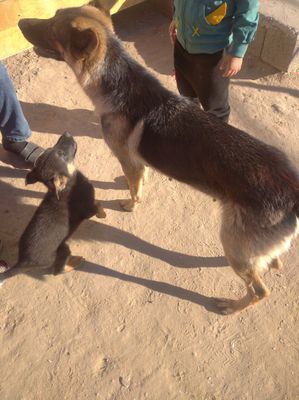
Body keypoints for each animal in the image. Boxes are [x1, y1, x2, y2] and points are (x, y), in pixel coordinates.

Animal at [0, 131, 106, 278]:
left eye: (53, 149)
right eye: (61, 154)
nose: (66, 133)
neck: (67, 186)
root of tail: (23, 262)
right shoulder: (88, 208)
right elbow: (98, 205)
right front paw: (103, 214)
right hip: (63, 249)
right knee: (57, 271)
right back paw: (74, 263)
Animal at [18, 1, 299, 314]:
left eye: (53, 29)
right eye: (54, 15)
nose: (19, 22)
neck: (117, 79)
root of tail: (292, 189)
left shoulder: (127, 158)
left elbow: (134, 189)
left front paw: (130, 204)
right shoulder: (137, 161)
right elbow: (139, 177)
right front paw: (128, 183)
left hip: (233, 246)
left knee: (261, 291)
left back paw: (232, 305)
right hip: (247, 248)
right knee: (272, 262)